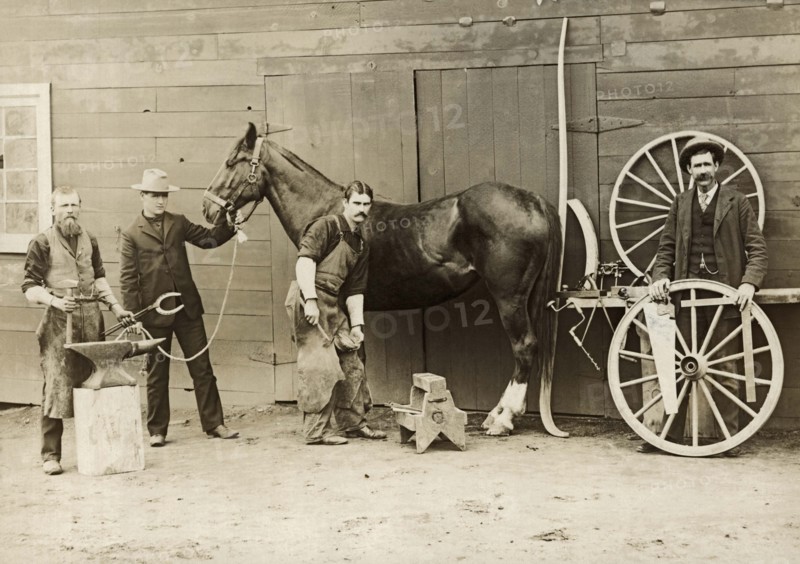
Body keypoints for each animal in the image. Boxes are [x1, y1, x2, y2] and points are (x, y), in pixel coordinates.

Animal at [203, 122, 565, 437]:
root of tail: (531, 199)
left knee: (524, 347)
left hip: (509, 298)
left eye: (231, 162)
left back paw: (502, 420)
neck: (333, 212)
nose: (208, 209)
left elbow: (351, 358)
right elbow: (357, 355)